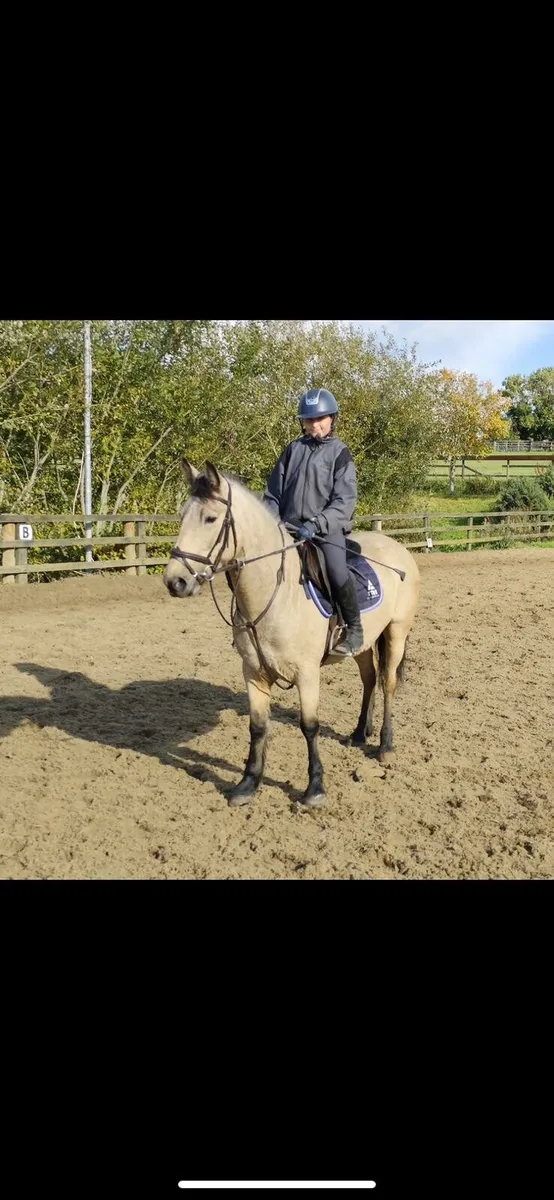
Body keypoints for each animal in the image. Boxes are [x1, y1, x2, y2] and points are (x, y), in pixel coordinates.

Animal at [163, 460, 420, 808]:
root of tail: (398, 548)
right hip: (365, 643)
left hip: (396, 633)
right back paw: (358, 733)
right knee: (369, 680)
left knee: (388, 684)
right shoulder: (253, 673)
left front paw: (315, 788)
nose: (174, 581)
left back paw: (385, 745)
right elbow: (258, 727)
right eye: (182, 516)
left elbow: (309, 727)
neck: (277, 594)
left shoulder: (307, 674)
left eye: (211, 518)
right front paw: (248, 784)